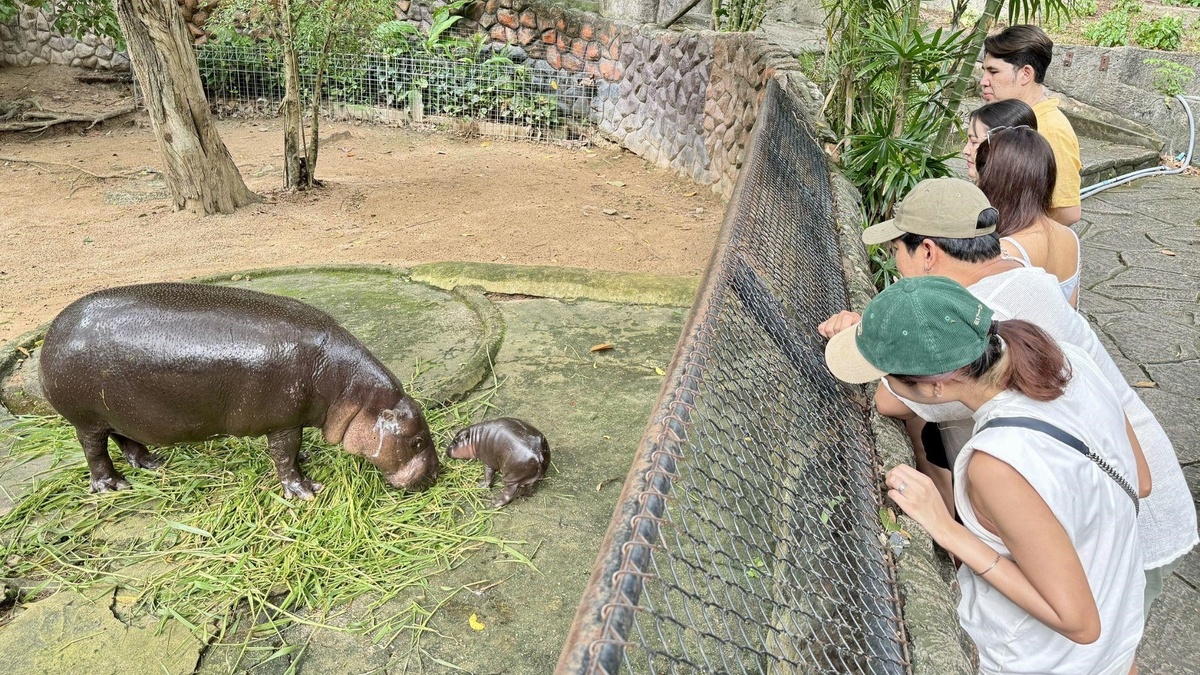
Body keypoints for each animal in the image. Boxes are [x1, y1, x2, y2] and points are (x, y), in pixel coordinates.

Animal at [37, 281, 441, 497]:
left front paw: (307, 459)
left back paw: (153, 463)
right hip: (86, 418)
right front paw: (304, 491)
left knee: (124, 437)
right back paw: (113, 485)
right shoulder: (283, 421)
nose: (439, 472)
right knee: (94, 450)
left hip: (118, 412)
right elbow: (283, 454)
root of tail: (54, 330)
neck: (351, 390)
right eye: (418, 441)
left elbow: (291, 451)